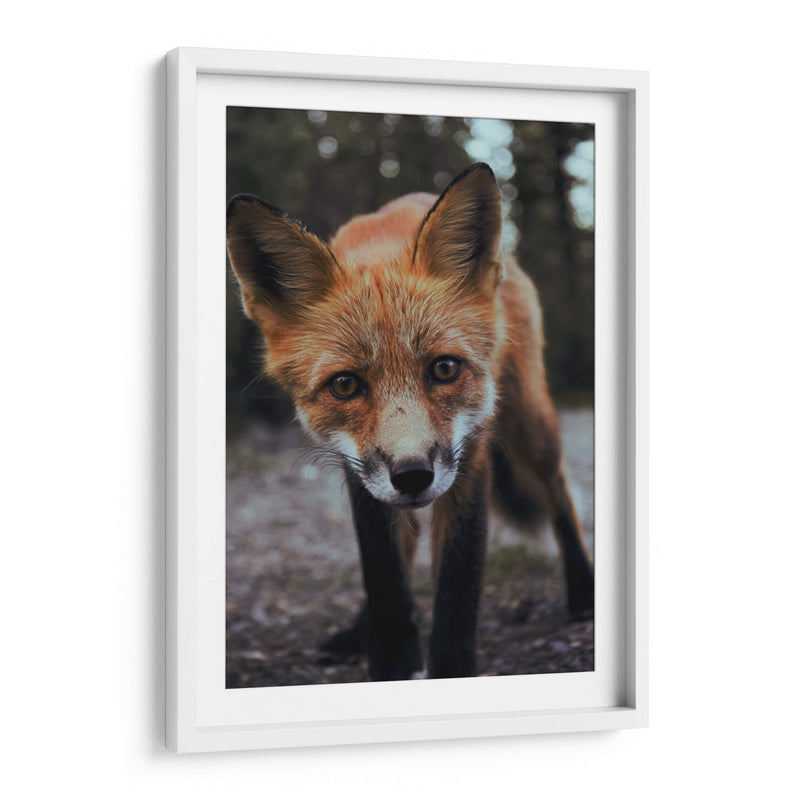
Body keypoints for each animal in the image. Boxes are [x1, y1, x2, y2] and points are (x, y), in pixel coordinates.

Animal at [226, 162, 594, 681]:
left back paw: (583, 589)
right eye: (345, 385)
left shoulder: (470, 454)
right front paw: (391, 659)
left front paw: (450, 667)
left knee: (559, 492)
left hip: (530, 421)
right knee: (407, 540)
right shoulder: (358, 469)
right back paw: (357, 631)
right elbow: (383, 574)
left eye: (444, 369)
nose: (413, 475)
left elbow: (458, 584)